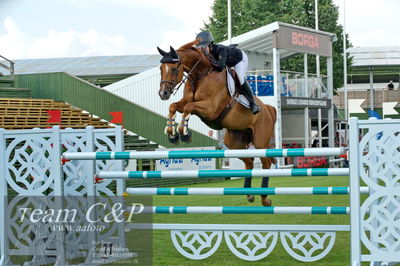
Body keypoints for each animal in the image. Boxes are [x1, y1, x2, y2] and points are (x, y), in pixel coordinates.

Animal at [158, 40, 276, 207]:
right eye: (161, 69)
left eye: (174, 69)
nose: (163, 93)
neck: (200, 74)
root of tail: (268, 109)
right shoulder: (186, 101)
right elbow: (173, 106)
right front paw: (172, 135)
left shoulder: (210, 108)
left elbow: (188, 108)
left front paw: (184, 133)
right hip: (234, 144)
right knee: (250, 162)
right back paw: (249, 195)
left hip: (260, 142)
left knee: (266, 164)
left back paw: (265, 198)